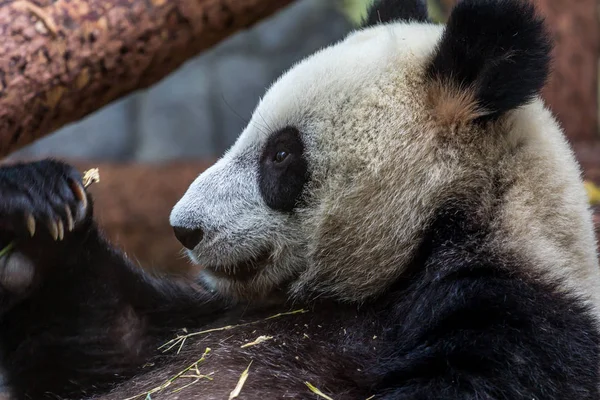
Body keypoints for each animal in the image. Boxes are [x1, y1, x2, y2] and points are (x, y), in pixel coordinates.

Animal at [1, 0, 600, 398]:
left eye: (281, 155)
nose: (184, 228)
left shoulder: (519, 326)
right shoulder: (217, 314)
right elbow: (103, 339)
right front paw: (39, 210)